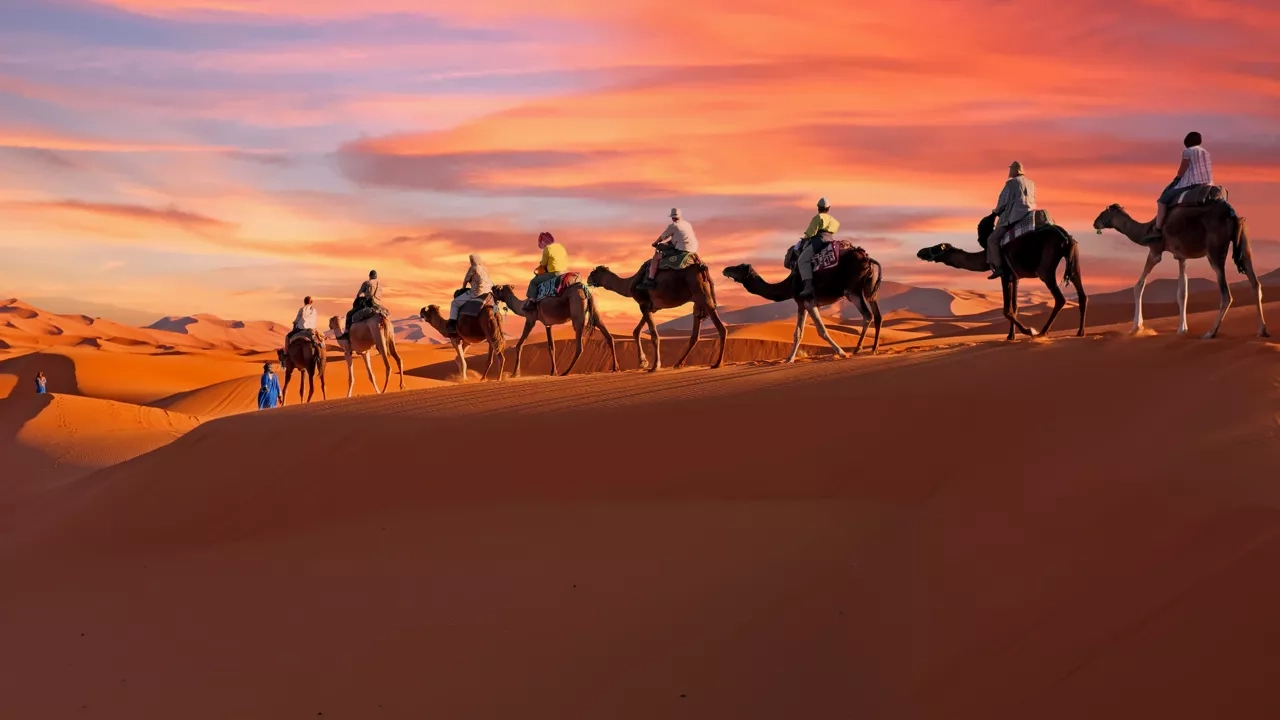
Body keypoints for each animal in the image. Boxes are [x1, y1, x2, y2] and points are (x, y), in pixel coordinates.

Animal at [486, 283, 616, 379]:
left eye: (498, 289)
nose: (491, 289)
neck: (522, 306)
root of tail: (584, 289)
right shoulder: (548, 325)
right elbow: (551, 347)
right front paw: (553, 371)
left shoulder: (530, 319)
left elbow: (519, 345)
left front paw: (515, 374)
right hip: (594, 308)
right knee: (607, 334)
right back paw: (615, 368)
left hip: (577, 310)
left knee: (579, 345)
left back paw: (566, 372)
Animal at [586, 260, 727, 368]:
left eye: (593, 273)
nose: (587, 280)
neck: (630, 284)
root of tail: (702, 268)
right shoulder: (650, 307)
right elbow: (636, 331)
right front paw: (643, 362)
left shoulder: (643, 304)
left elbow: (654, 336)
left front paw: (654, 366)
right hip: (698, 301)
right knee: (695, 335)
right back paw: (678, 363)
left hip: (702, 295)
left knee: (721, 328)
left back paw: (717, 363)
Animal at [727, 242, 885, 363]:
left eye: (739, 267)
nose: (725, 269)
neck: (789, 283)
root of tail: (867, 259)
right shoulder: (801, 304)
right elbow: (798, 333)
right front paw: (789, 359)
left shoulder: (809, 301)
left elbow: (821, 330)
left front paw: (841, 352)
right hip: (869, 288)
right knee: (877, 315)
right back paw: (874, 349)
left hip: (852, 291)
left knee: (868, 315)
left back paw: (858, 348)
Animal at [916, 211, 1085, 340]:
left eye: (937, 247)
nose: (920, 252)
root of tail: (1066, 237)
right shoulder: (1015, 277)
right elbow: (1015, 307)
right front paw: (1011, 336)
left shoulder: (1004, 273)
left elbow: (1006, 310)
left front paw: (1028, 331)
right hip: (1074, 261)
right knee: (1081, 294)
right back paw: (1080, 332)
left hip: (1045, 268)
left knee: (1060, 299)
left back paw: (1042, 332)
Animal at [1095, 199, 1264, 338]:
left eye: (1103, 213)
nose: (1095, 223)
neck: (1147, 229)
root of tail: (1234, 217)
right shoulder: (1182, 257)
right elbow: (1183, 292)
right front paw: (1182, 329)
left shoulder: (1155, 251)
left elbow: (1139, 285)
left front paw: (1136, 328)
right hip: (1245, 245)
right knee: (1255, 283)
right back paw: (1262, 330)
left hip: (1215, 252)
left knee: (1226, 295)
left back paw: (1210, 332)